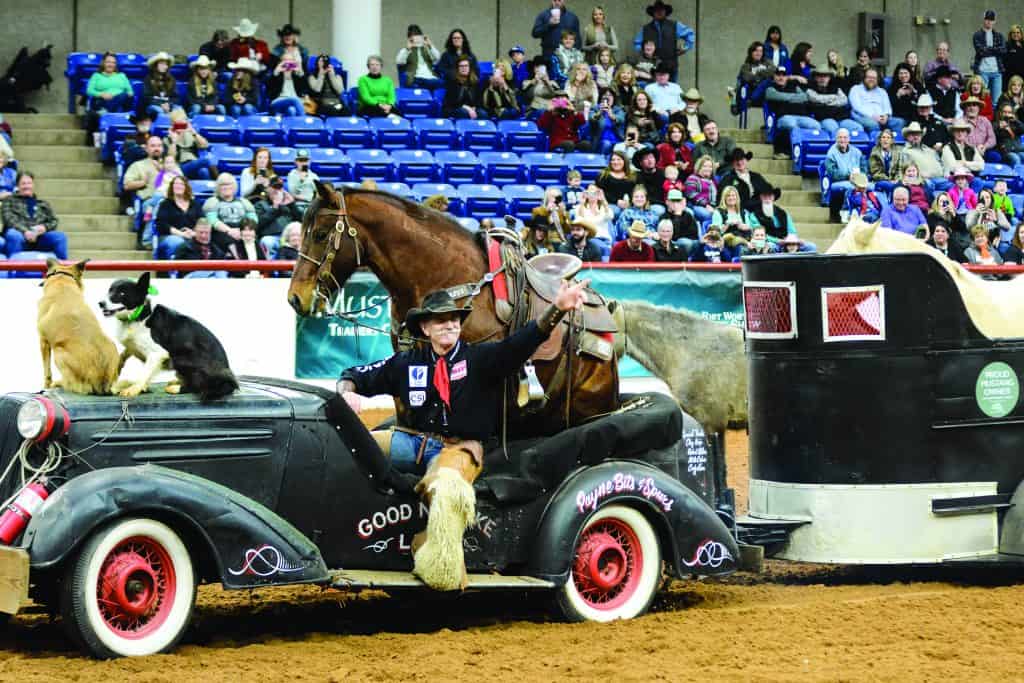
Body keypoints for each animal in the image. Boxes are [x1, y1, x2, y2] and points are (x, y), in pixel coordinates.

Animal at [37, 258, 119, 395]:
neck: (62, 278)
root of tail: (102, 381)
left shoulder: (44, 342)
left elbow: (47, 372)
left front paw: (46, 385)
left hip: (59, 352)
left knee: (75, 386)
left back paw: (59, 384)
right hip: (112, 345)